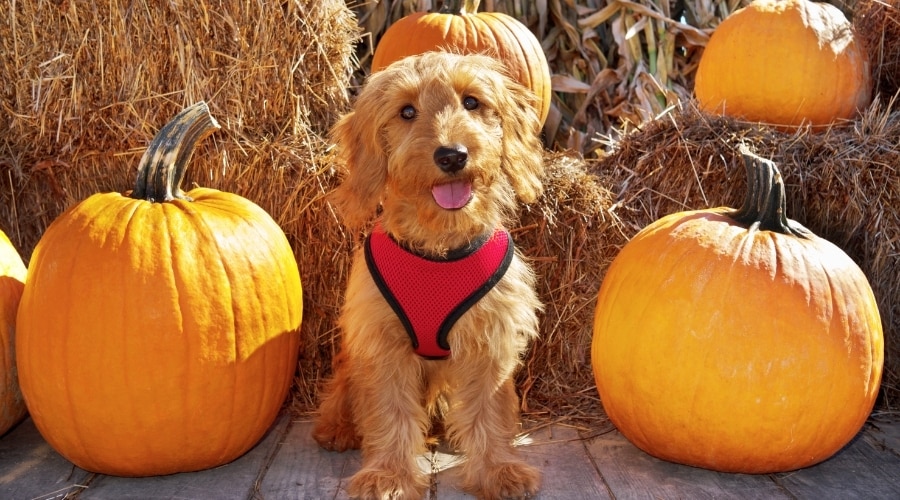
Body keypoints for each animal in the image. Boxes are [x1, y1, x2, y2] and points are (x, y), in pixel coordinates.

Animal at [312, 50, 544, 500]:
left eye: (471, 102)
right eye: (406, 112)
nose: (452, 155)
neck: (439, 247)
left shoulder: (490, 341)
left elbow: (490, 412)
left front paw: (498, 469)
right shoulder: (382, 345)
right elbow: (389, 413)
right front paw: (389, 476)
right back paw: (336, 429)